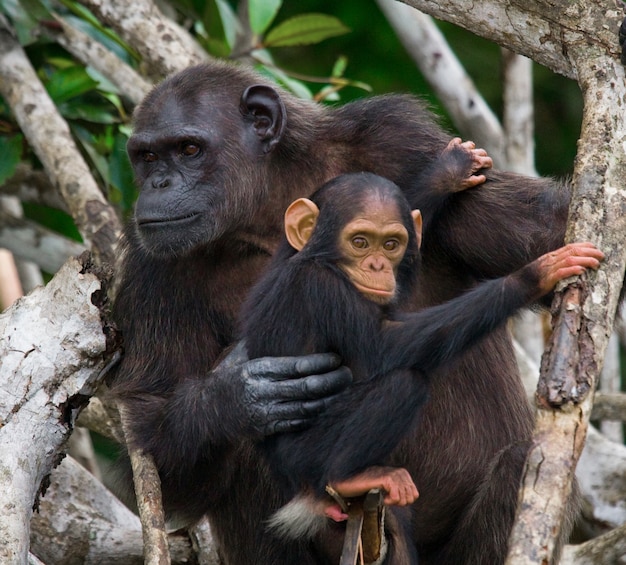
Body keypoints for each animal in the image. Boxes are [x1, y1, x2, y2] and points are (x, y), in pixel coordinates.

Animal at [239, 171, 600, 560]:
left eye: (391, 244)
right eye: (360, 242)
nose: (377, 266)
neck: (323, 260)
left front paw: (448, 176)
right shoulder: (323, 288)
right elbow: (387, 343)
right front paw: (534, 275)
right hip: (305, 457)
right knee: (403, 383)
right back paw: (346, 478)